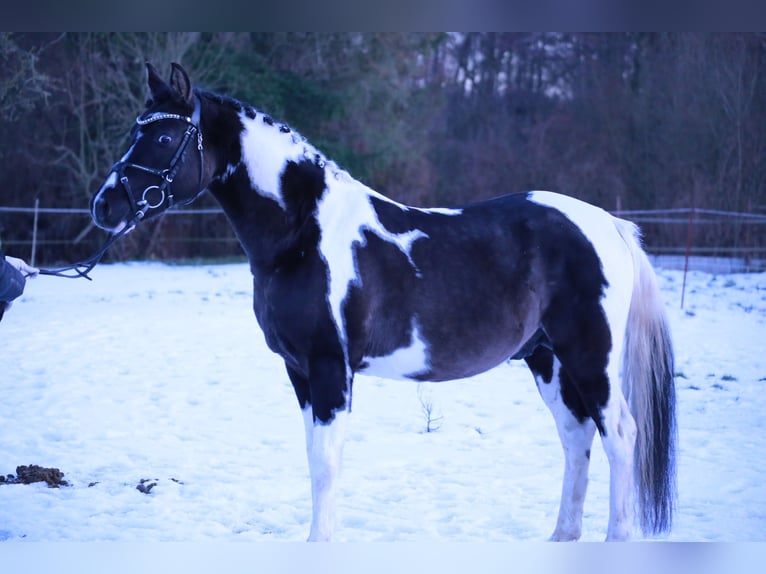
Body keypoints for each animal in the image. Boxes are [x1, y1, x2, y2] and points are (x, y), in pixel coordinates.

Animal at [90, 62, 676, 541]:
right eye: (136, 130)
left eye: (165, 135)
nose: (104, 205)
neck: (302, 232)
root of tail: (610, 224)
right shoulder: (299, 372)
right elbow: (315, 459)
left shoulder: (330, 367)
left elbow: (327, 465)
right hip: (546, 357)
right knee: (576, 436)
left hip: (589, 356)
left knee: (620, 434)